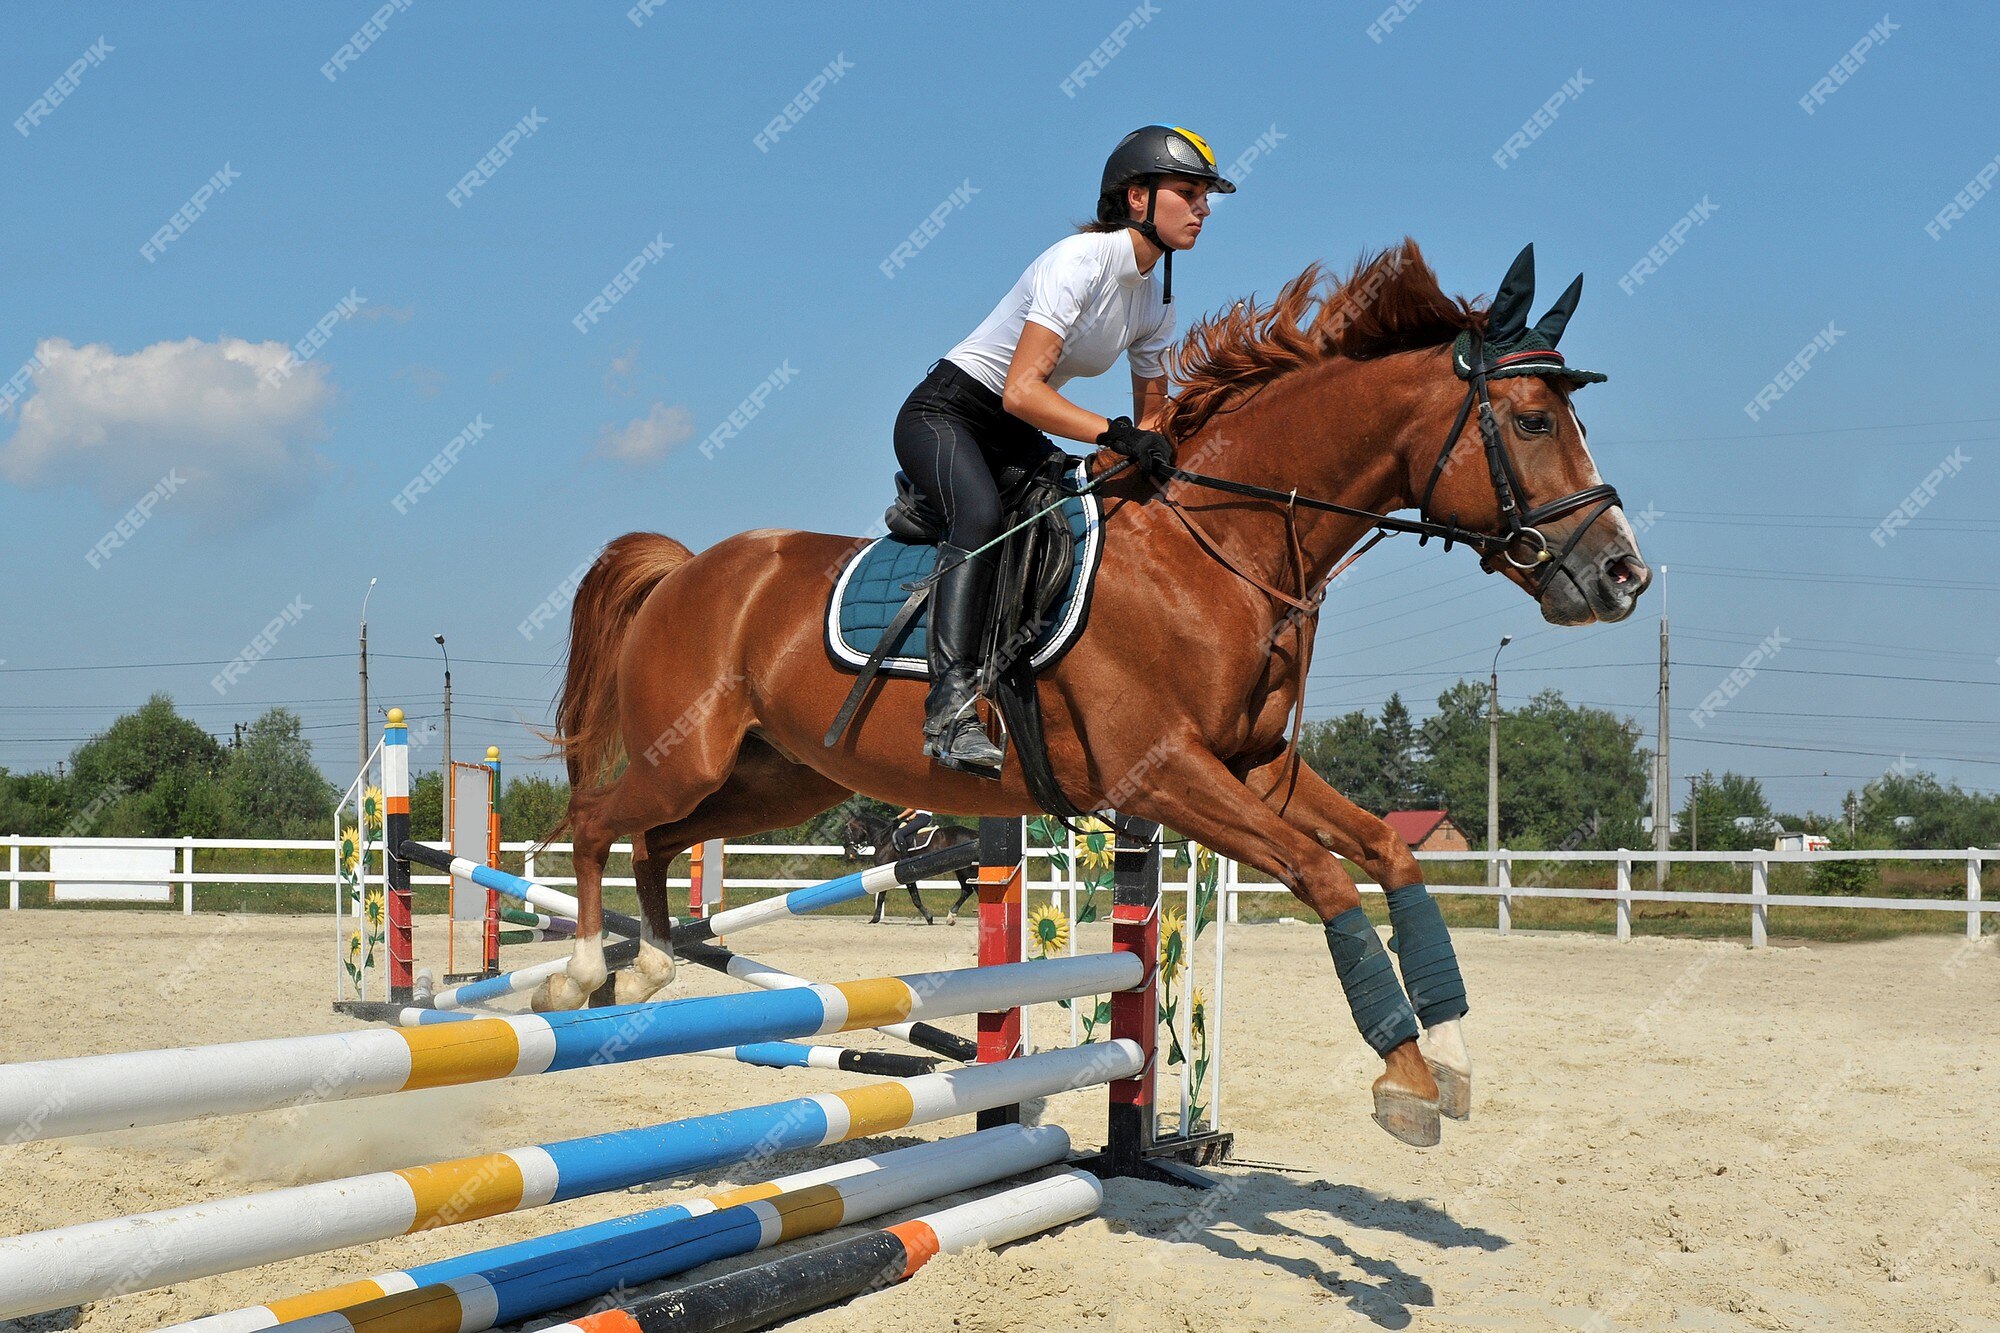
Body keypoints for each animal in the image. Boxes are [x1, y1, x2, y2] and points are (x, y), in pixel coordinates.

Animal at [836, 804, 976, 920]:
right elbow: (911, 896)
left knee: (971, 889)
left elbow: (885, 896)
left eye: (846, 831)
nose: (849, 853)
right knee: (967, 890)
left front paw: (875, 919)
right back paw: (951, 916)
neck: (884, 838)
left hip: (966, 869)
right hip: (960, 869)